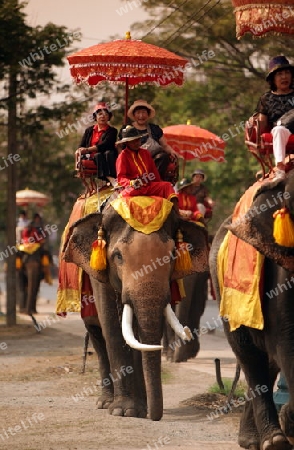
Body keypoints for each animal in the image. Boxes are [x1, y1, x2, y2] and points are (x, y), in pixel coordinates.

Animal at [63, 201, 208, 422]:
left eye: (172, 255)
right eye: (118, 256)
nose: (156, 417)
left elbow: (141, 338)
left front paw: (141, 409)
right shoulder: (101, 279)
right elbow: (113, 330)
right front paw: (124, 411)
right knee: (98, 338)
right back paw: (105, 403)